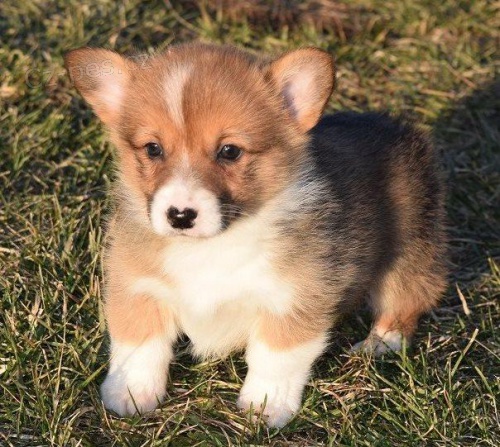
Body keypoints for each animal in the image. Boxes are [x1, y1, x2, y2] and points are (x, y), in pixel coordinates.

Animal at [65, 43, 446, 428]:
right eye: (153, 149)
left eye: (230, 151)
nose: (180, 216)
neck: (212, 247)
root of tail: (397, 126)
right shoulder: (136, 286)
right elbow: (139, 344)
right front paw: (130, 393)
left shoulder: (294, 298)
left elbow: (275, 356)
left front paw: (265, 406)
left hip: (410, 249)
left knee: (408, 299)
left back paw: (378, 344)